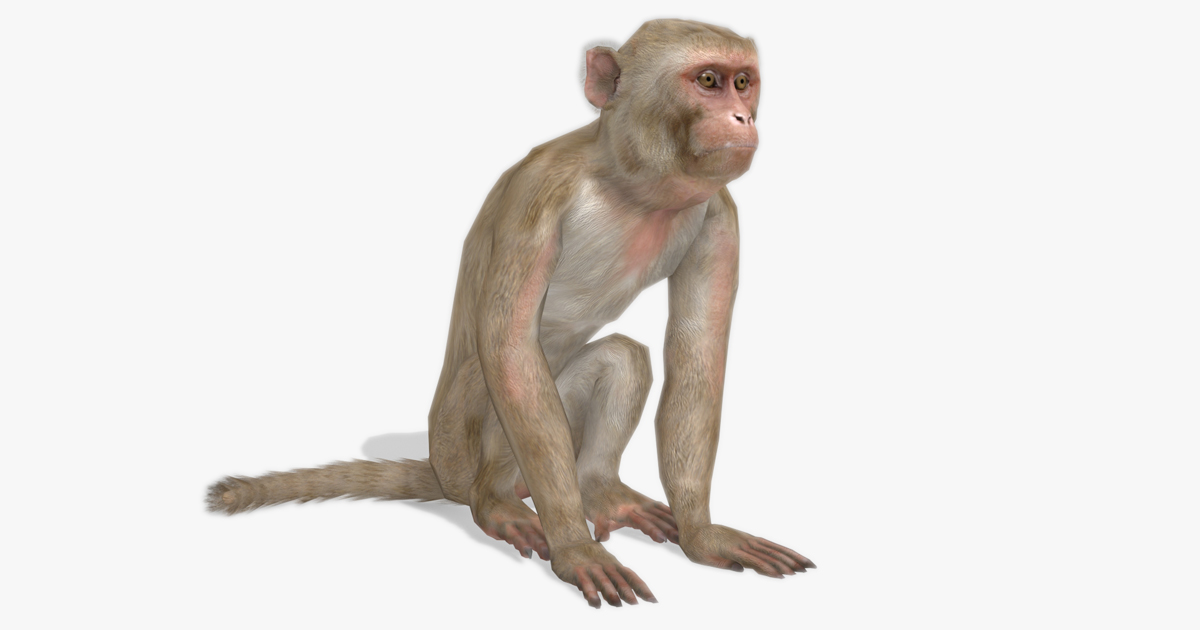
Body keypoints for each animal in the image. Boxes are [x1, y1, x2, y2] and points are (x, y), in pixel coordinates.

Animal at [207, 18, 816, 607]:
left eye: (743, 82)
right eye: (708, 81)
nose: (741, 116)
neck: (631, 190)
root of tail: (444, 470)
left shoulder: (718, 214)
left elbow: (698, 354)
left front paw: (703, 534)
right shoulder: (537, 196)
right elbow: (507, 348)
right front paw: (575, 548)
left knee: (623, 359)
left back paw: (598, 488)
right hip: (462, 448)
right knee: (505, 382)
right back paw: (496, 500)